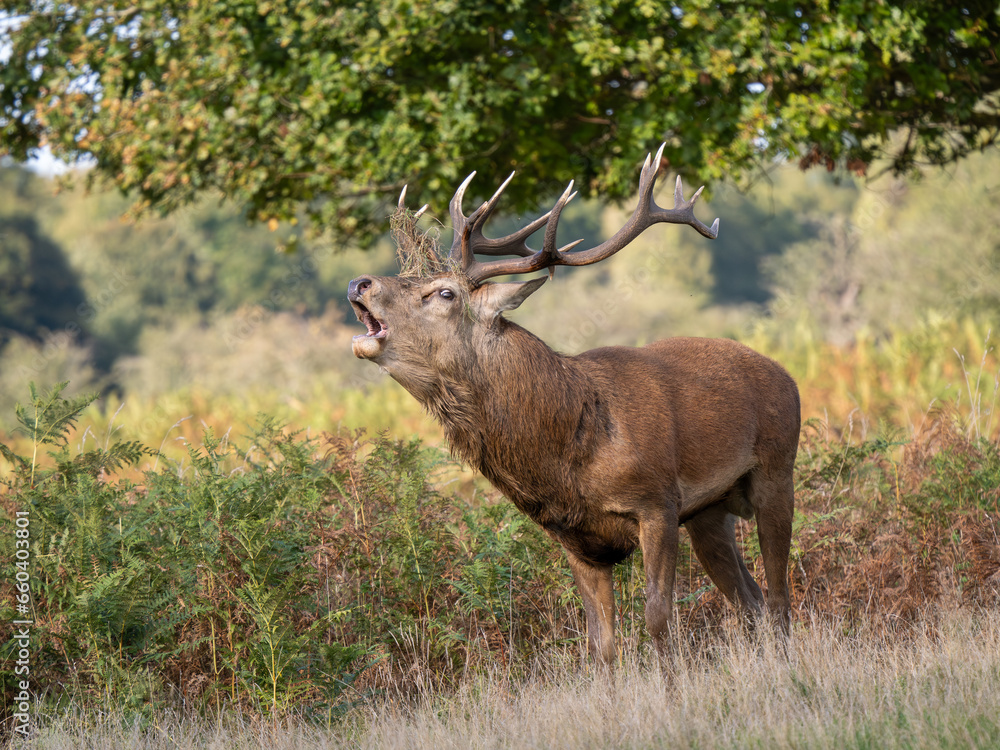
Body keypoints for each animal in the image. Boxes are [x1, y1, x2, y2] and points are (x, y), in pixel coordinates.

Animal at [347, 145, 800, 665]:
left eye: (444, 292)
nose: (359, 283)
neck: (569, 456)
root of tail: (787, 376)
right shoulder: (574, 537)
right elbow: (600, 643)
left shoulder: (658, 504)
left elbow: (657, 617)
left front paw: (672, 681)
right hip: (710, 514)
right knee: (751, 599)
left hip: (777, 468)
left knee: (779, 597)